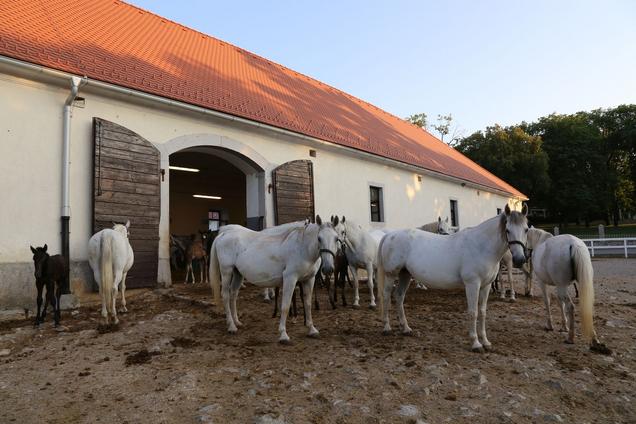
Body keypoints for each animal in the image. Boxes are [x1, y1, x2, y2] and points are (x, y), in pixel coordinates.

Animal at [210, 217, 340, 342]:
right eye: (319, 238)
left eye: (336, 238)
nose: (328, 268)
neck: (302, 247)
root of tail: (223, 234)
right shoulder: (290, 278)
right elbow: (285, 306)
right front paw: (283, 335)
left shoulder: (309, 279)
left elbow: (307, 304)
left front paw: (312, 329)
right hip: (226, 272)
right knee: (226, 296)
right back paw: (231, 326)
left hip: (238, 274)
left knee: (233, 295)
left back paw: (237, 322)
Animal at [376, 205, 528, 352]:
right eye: (507, 230)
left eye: (526, 229)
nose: (520, 260)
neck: (481, 246)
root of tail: (390, 235)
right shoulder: (472, 284)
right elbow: (473, 312)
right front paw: (476, 343)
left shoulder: (486, 285)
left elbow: (483, 312)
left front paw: (485, 342)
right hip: (391, 275)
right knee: (386, 296)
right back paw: (386, 327)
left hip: (405, 274)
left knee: (399, 296)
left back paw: (406, 328)